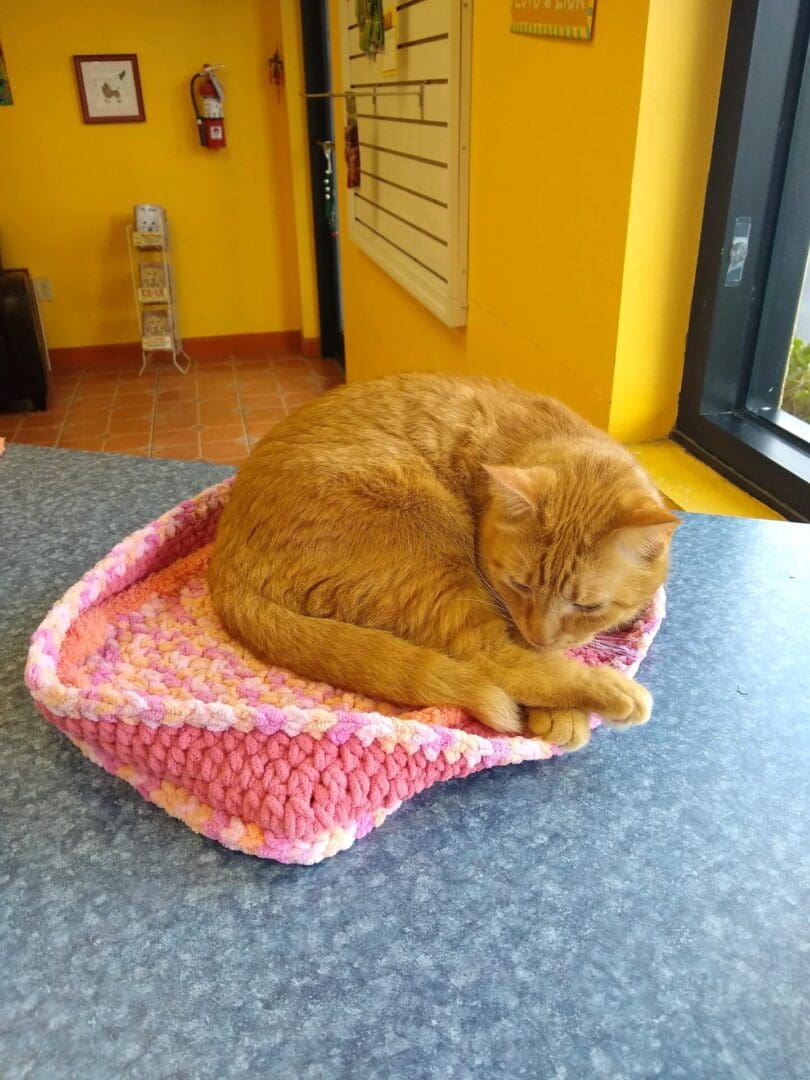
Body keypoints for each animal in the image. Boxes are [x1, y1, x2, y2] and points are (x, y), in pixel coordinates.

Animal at [209, 375, 678, 747]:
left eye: (587, 606)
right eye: (521, 585)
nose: (540, 637)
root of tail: (223, 566)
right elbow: (523, 655)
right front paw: (564, 711)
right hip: (430, 544)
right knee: (490, 657)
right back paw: (613, 693)